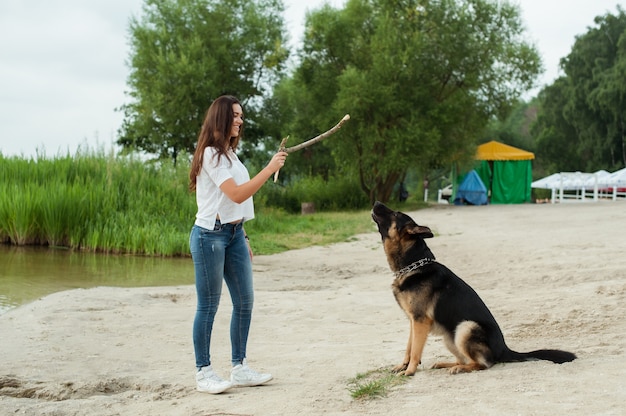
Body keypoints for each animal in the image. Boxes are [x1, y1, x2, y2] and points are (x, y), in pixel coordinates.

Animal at [370, 202, 576, 376]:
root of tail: (505, 350)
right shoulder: (413, 322)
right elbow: (409, 347)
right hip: (450, 336)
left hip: (465, 327)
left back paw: (460, 368)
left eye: (396, 213)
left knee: (484, 364)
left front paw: (410, 371)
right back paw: (448, 364)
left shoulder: (420, 321)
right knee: (465, 359)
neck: (413, 265)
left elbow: (415, 350)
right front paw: (402, 366)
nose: (376, 202)